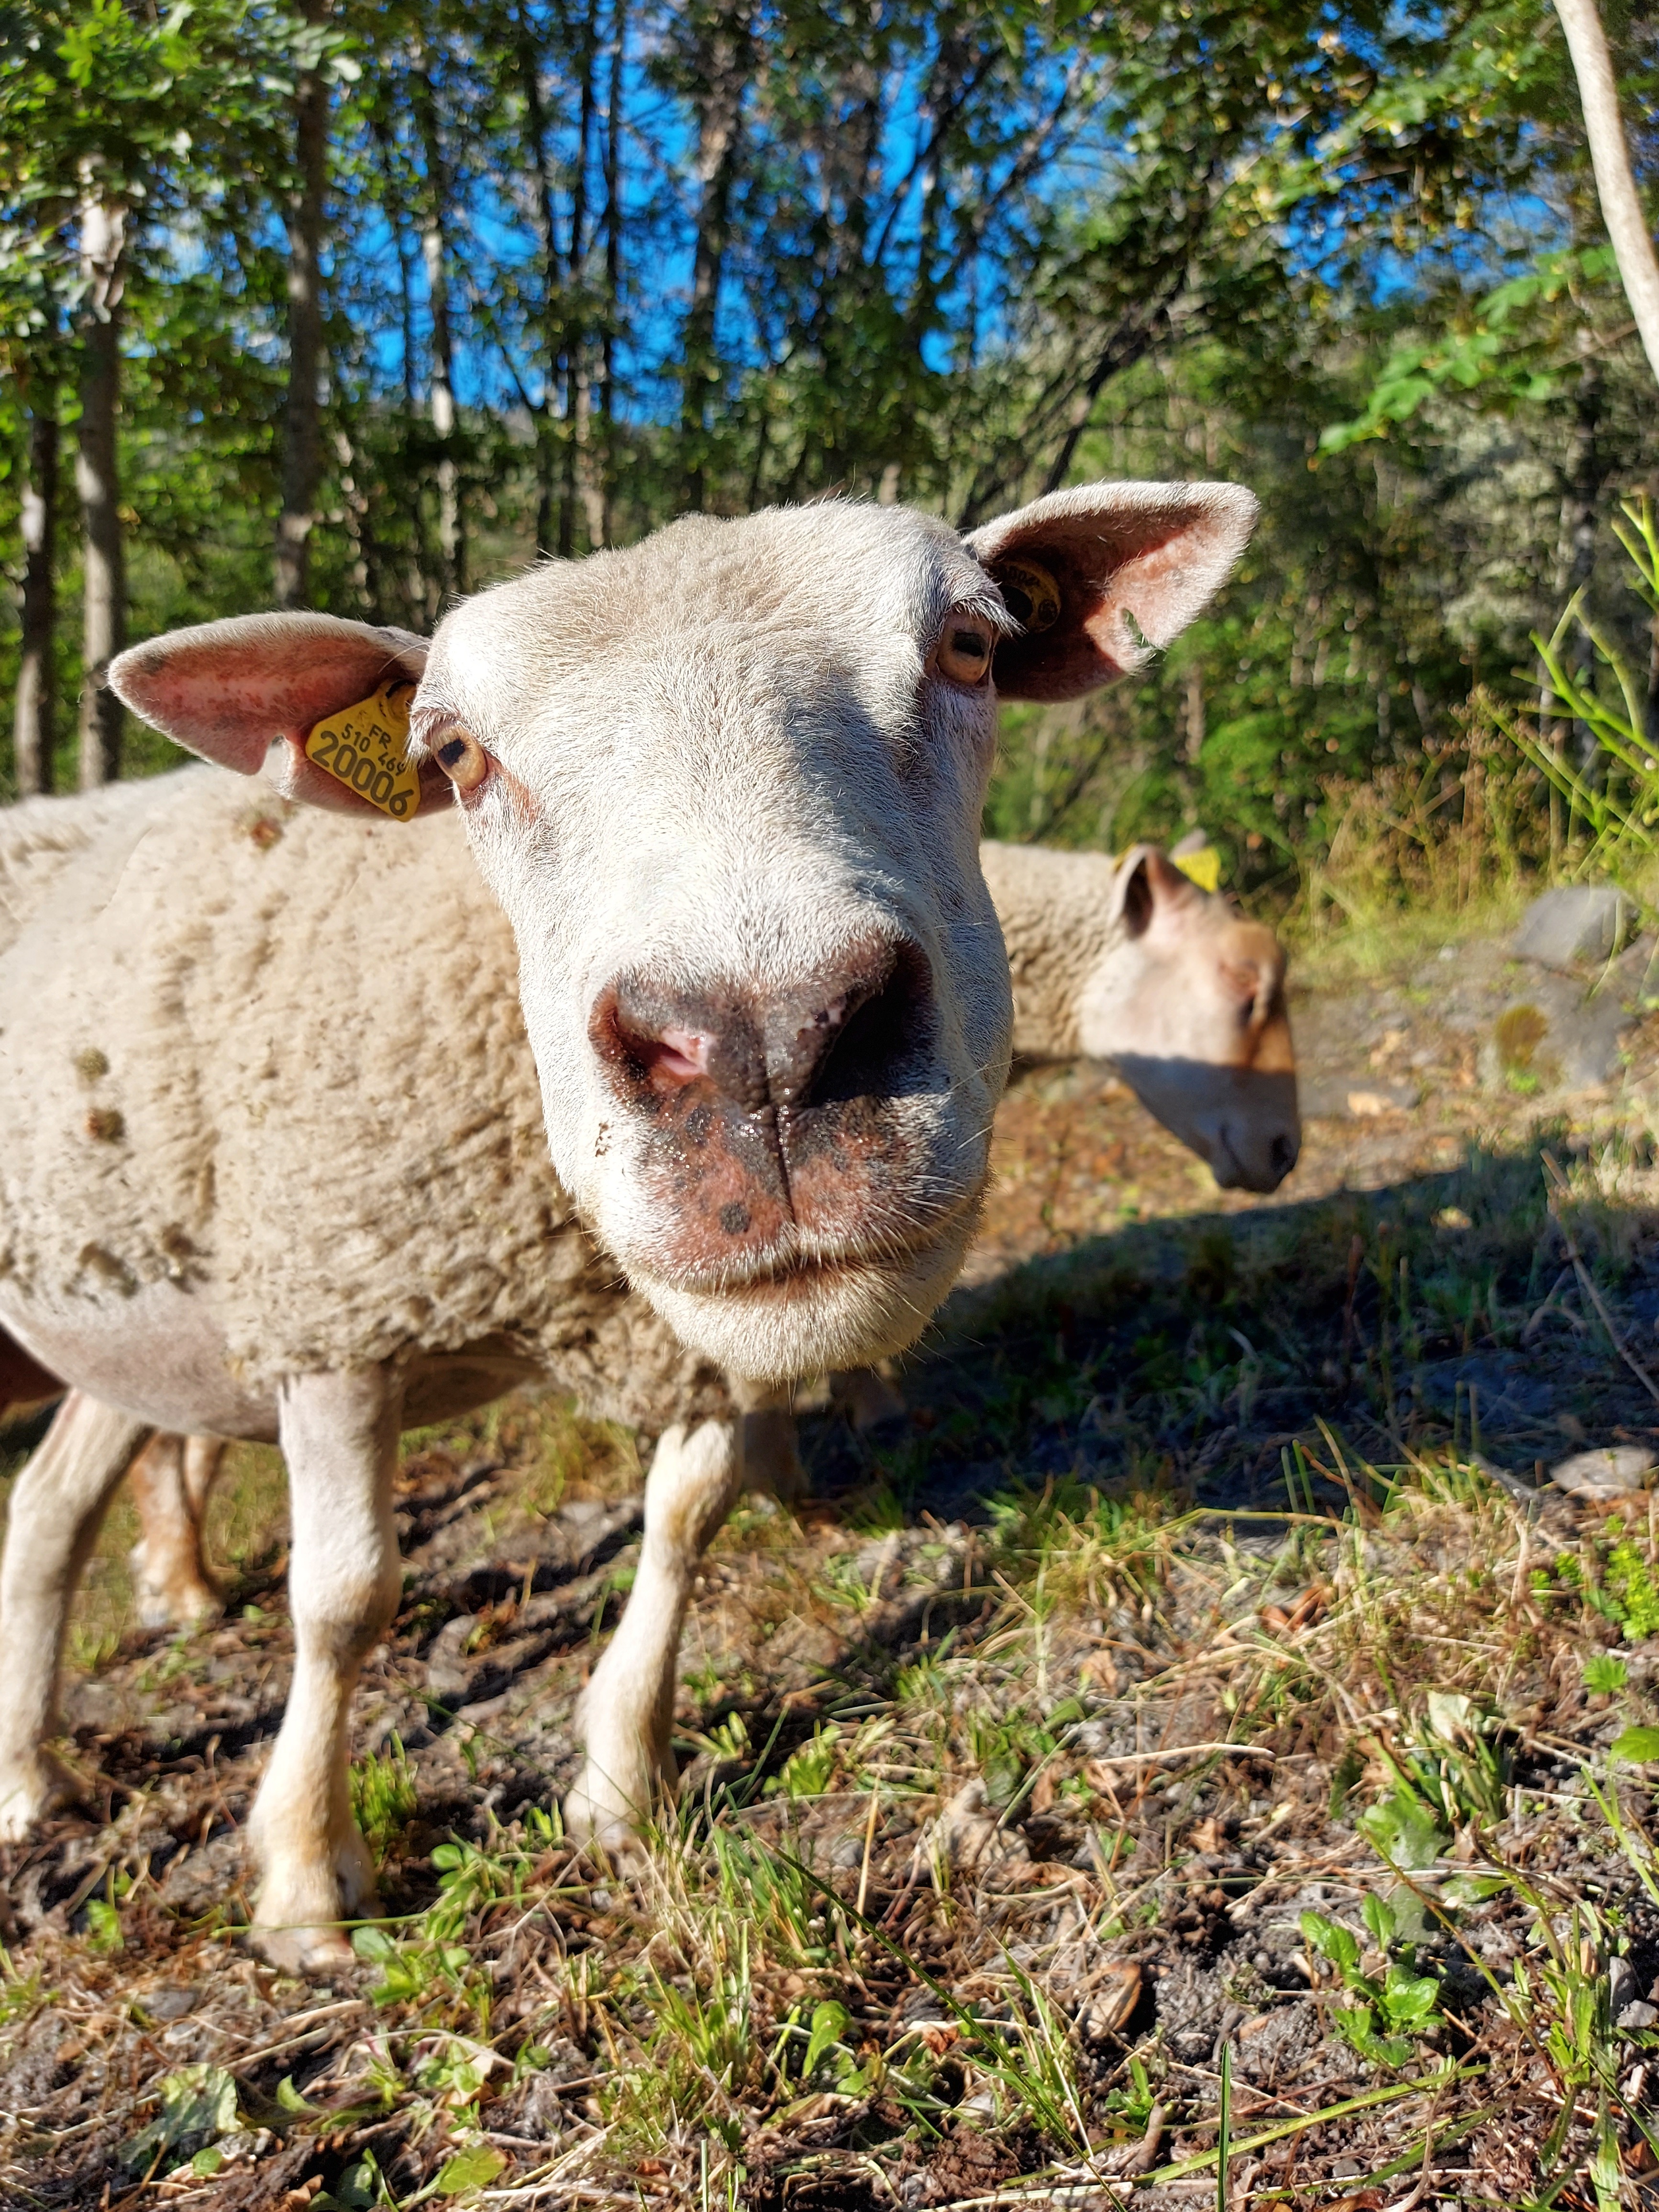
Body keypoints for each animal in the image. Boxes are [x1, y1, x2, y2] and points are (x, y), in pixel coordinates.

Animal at [0, 484, 1258, 1965]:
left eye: (970, 649)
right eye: (452, 753)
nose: (768, 1048)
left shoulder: (693, 1328)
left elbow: (685, 1517)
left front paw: (620, 1776)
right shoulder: (331, 1305)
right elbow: (343, 1600)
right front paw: (307, 1878)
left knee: (45, 1510)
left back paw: (31, 1772)